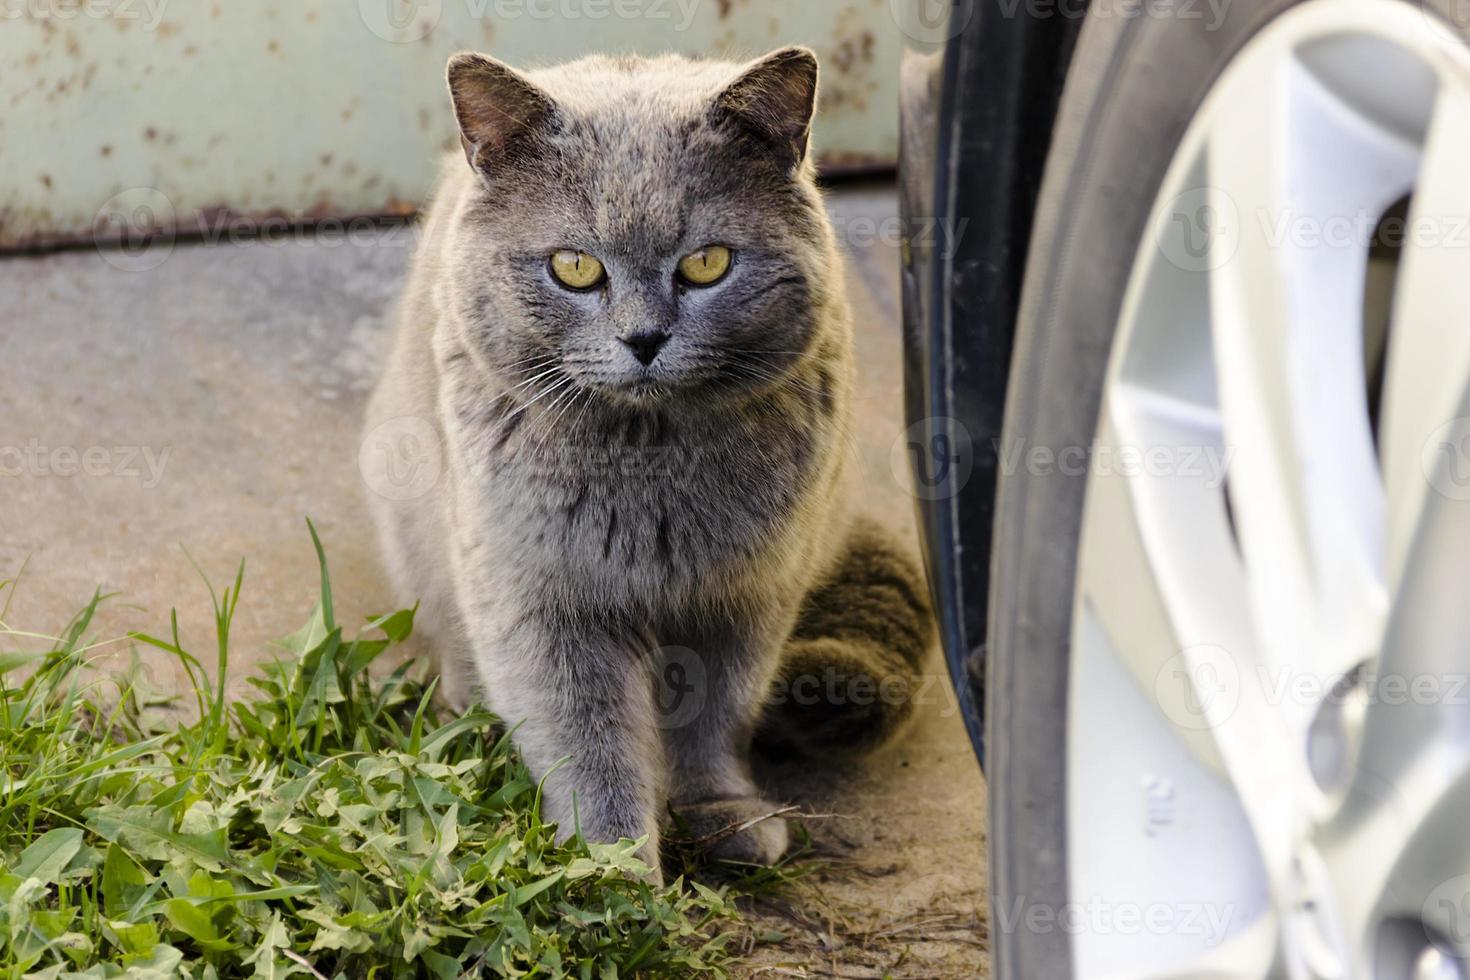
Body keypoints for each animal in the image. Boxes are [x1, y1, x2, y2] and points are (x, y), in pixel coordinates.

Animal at [370, 45, 929, 881]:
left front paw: (723, 814)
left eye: (707, 263)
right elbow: (589, 742)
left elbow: (713, 718)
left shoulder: (745, 599)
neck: (650, 466)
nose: (643, 339)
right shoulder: (543, 602)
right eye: (573, 266)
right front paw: (615, 871)